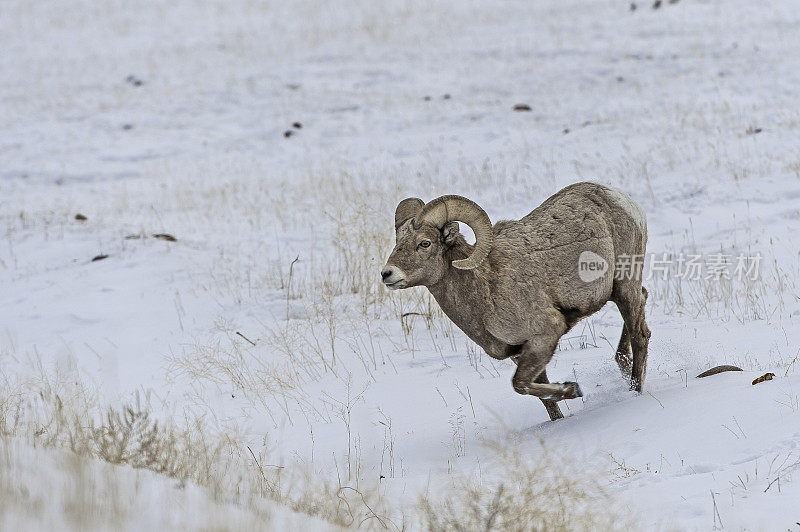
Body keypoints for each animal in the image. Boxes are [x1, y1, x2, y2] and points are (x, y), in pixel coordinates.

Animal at [382, 183, 648, 420]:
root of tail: (621, 198)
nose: (387, 274)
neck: (485, 291)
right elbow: (542, 398)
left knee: (641, 336)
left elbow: (519, 384)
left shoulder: (545, 334)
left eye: (424, 243)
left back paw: (634, 391)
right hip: (620, 291)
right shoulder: (520, 353)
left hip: (625, 285)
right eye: (398, 242)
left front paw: (573, 389)